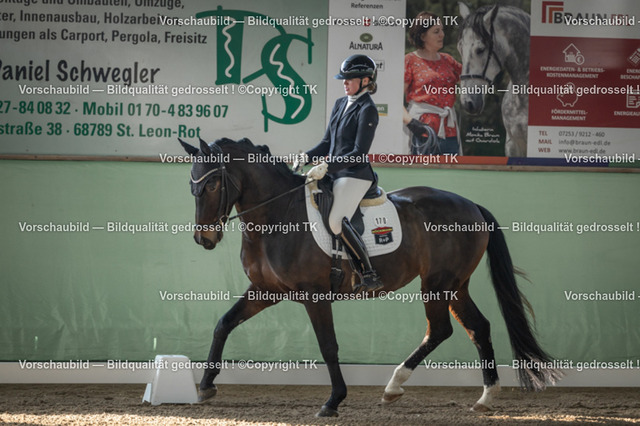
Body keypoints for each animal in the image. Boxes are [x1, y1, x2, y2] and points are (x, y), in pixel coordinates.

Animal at [179, 137, 561, 417]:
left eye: (212, 184)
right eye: (191, 185)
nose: (203, 239)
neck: (277, 215)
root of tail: (472, 206)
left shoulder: (314, 295)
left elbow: (328, 346)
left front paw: (333, 401)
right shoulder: (265, 290)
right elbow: (224, 323)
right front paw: (206, 385)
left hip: (437, 284)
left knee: (440, 330)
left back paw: (394, 386)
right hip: (455, 286)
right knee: (477, 327)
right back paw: (484, 397)